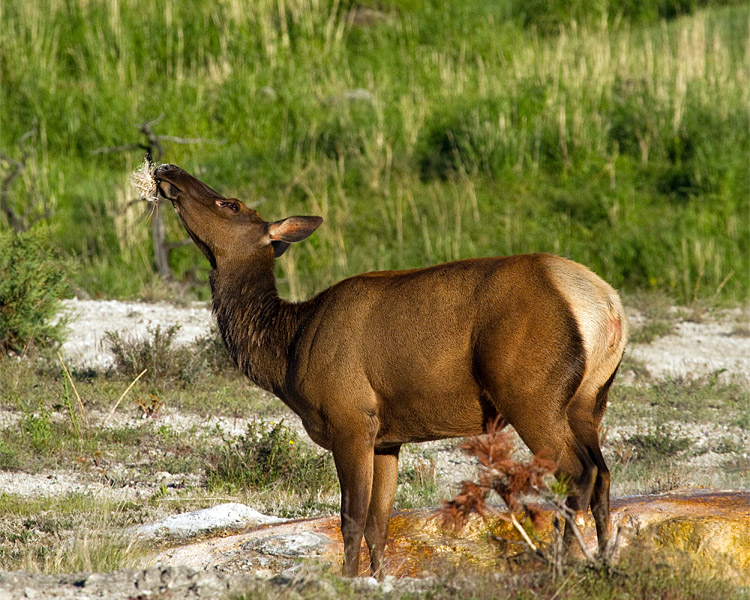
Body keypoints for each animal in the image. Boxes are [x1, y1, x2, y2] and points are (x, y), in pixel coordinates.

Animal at [157, 163, 628, 576]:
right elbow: (380, 523)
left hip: (530, 393)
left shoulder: (350, 418)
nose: (167, 170)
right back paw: (605, 561)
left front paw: (346, 580)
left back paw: (565, 561)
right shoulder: (387, 438)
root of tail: (607, 305)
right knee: (603, 473)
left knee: (578, 473)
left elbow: (351, 518)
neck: (288, 351)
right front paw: (380, 578)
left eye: (230, 203)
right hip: (588, 400)